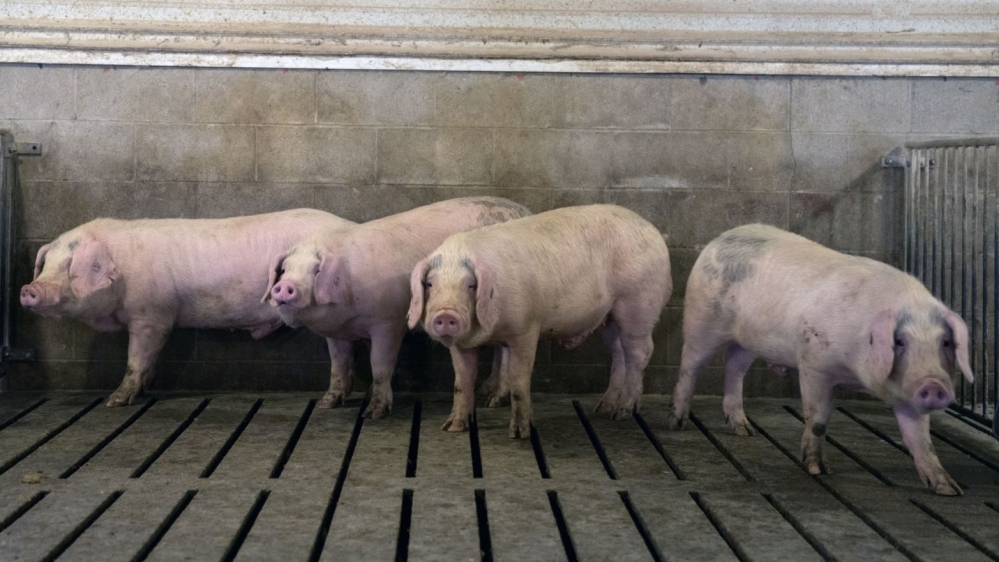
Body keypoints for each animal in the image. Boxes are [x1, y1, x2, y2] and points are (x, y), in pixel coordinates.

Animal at [20, 209, 354, 407]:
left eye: (69, 266)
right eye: (45, 264)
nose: (28, 289)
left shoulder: (151, 315)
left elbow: (136, 358)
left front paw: (115, 401)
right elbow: (148, 361)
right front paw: (145, 389)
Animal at [264, 197, 531, 418]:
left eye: (316, 270)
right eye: (285, 269)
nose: (284, 286)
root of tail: (525, 210)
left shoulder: (388, 322)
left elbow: (379, 363)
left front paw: (374, 413)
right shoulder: (337, 332)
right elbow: (338, 363)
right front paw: (326, 404)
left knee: (505, 352)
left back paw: (494, 401)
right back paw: (487, 393)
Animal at [407, 205, 672, 438]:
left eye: (471, 285)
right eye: (430, 283)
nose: (445, 315)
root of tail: (655, 232)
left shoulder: (526, 329)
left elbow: (518, 379)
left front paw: (519, 434)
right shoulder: (462, 345)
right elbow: (462, 381)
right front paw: (451, 427)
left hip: (638, 304)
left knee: (640, 352)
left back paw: (621, 413)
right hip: (610, 317)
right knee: (619, 353)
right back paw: (603, 407)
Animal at [666, 224, 975, 495]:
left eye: (945, 342)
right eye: (900, 341)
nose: (934, 385)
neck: (856, 374)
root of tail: (718, 240)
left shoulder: (906, 394)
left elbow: (921, 440)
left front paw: (949, 489)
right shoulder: (814, 363)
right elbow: (817, 419)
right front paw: (818, 470)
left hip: (749, 341)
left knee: (734, 366)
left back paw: (745, 430)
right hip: (701, 320)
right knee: (690, 366)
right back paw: (677, 423)